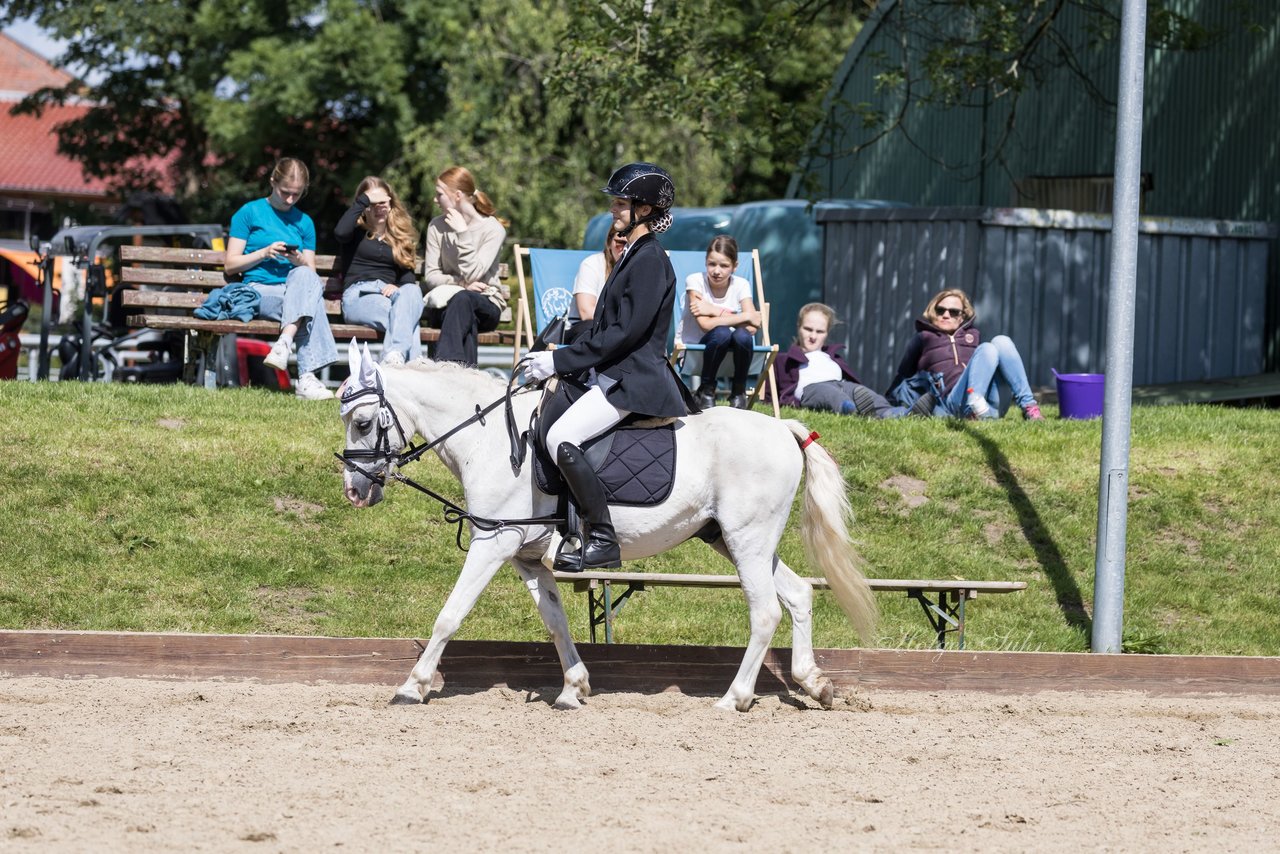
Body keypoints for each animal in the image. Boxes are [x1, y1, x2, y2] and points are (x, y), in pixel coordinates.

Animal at [337, 343, 880, 711]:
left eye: (362, 423)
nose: (355, 491)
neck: (488, 440)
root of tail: (783, 428)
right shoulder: (525, 557)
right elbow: (555, 621)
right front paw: (573, 688)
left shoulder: (493, 543)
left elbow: (449, 616)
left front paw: (412, 685)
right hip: (734, 539)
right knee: (798, 594)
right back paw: (815, 683)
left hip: (746, 540)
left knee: (765, 611)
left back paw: (735, 697)